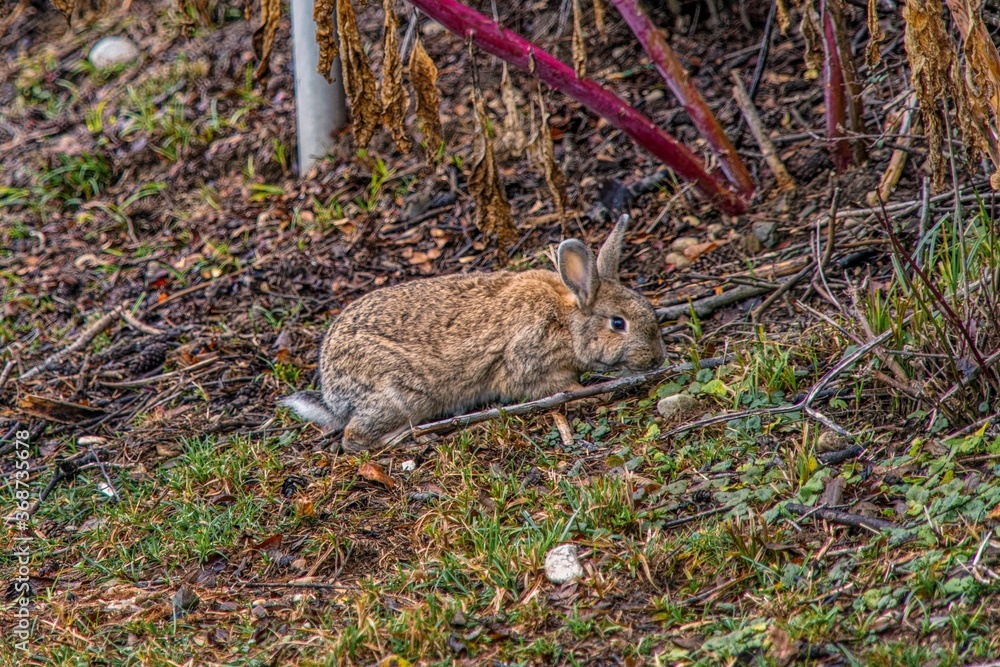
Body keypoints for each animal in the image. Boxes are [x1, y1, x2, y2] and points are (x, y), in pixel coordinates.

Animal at [281, 214, 666, 451]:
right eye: (618, 323)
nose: (657, 358)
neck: (567, 319)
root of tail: (332, 394)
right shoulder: (529, 364)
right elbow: (554, 386)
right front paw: (587, 392)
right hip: (398, 396)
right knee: (353, 439)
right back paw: (409, 437)